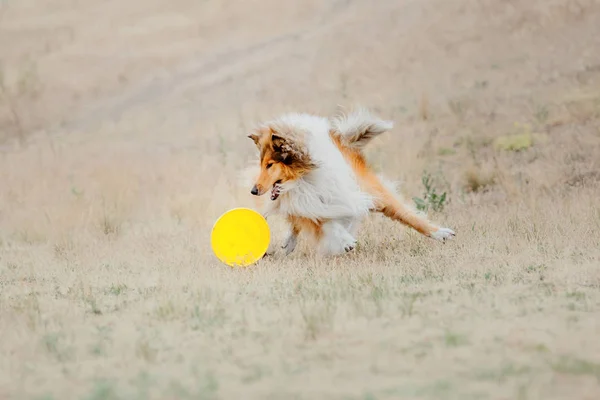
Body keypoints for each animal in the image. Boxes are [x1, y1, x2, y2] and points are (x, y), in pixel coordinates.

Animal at [245, 108, 454, 256]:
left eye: (270, 165)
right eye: (261, 164)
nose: (253, 191)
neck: (306, 178)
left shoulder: (366, 192)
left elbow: (409, 216)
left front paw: (441, 233)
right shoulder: (312, 204)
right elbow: (327, 224)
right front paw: (345, 241)